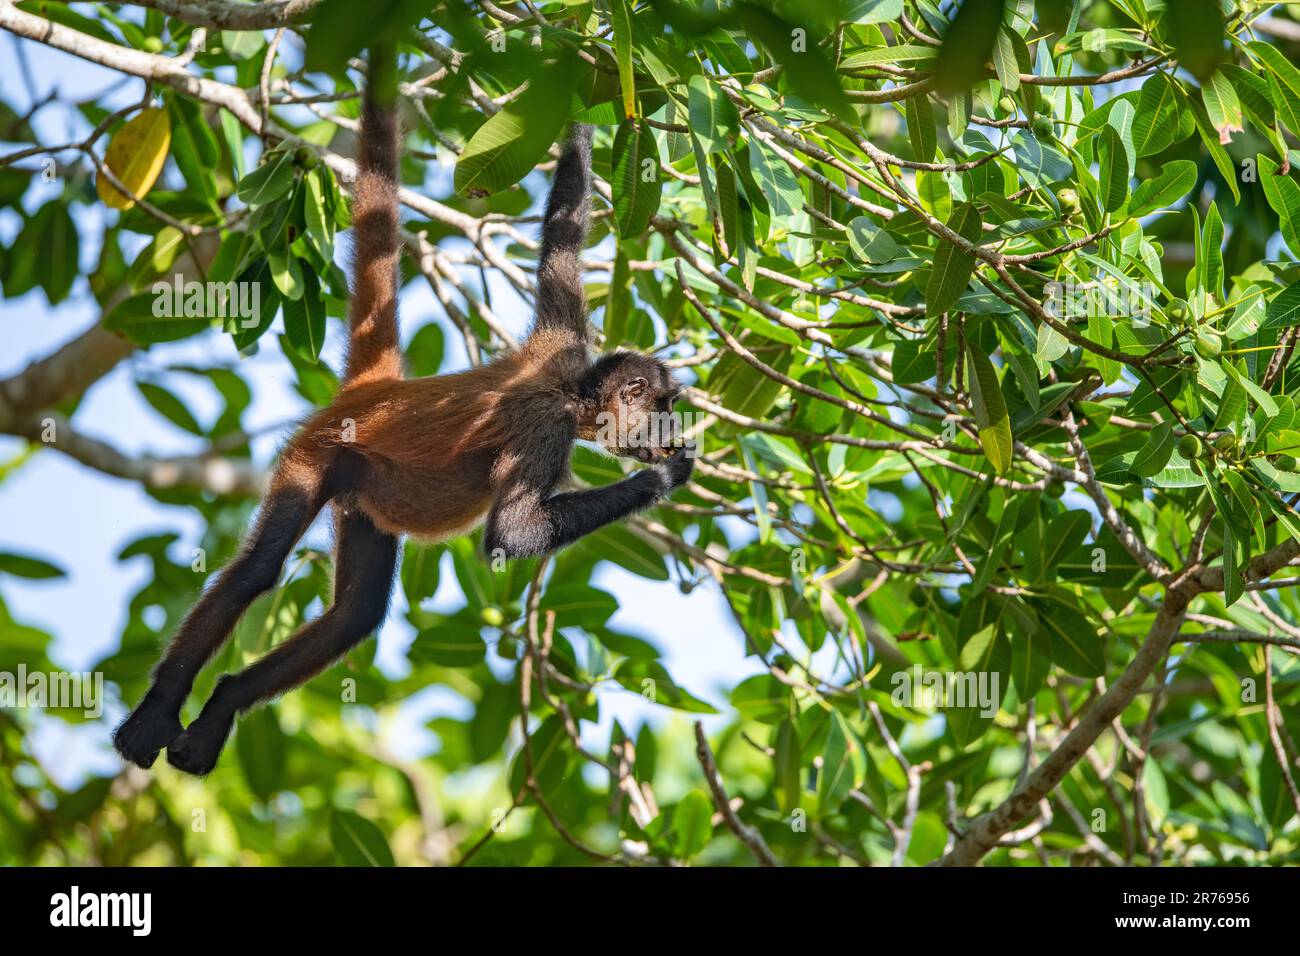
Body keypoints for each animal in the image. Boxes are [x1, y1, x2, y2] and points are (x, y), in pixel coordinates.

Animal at [114, 50, 691, 780]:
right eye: (664, 407)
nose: (673, 430)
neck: (570, 389)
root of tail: (373, 390)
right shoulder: (547, 425)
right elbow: (509, 536)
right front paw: (660, 481)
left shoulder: (563, 339)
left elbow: (563, 232)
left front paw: (589, 99)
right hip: (317, 452)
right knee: (257, 571)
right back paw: (158, 710)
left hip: (362, 486)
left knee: (355, 614)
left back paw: (220, 706)